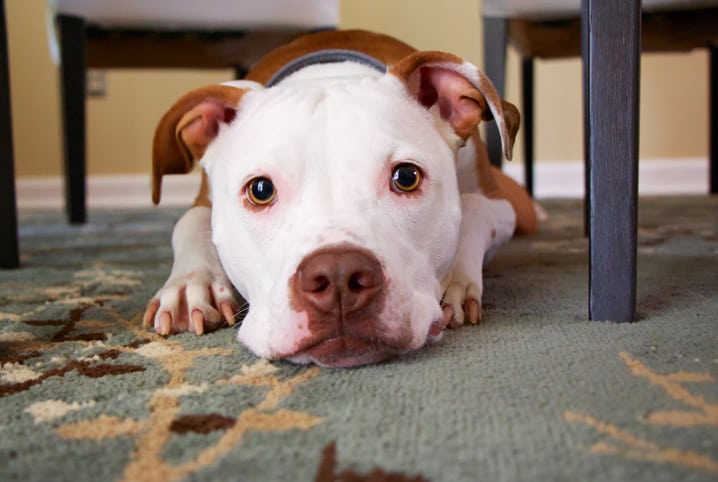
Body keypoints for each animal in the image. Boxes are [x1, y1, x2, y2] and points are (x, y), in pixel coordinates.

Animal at [143, 30, 536, 368]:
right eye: (260, 190)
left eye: (406, 177)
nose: (338, 276)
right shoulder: (203, 202)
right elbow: (188, 222)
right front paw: (191, 286)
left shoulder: (500, 205)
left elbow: (473, 209)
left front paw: (455, 280)